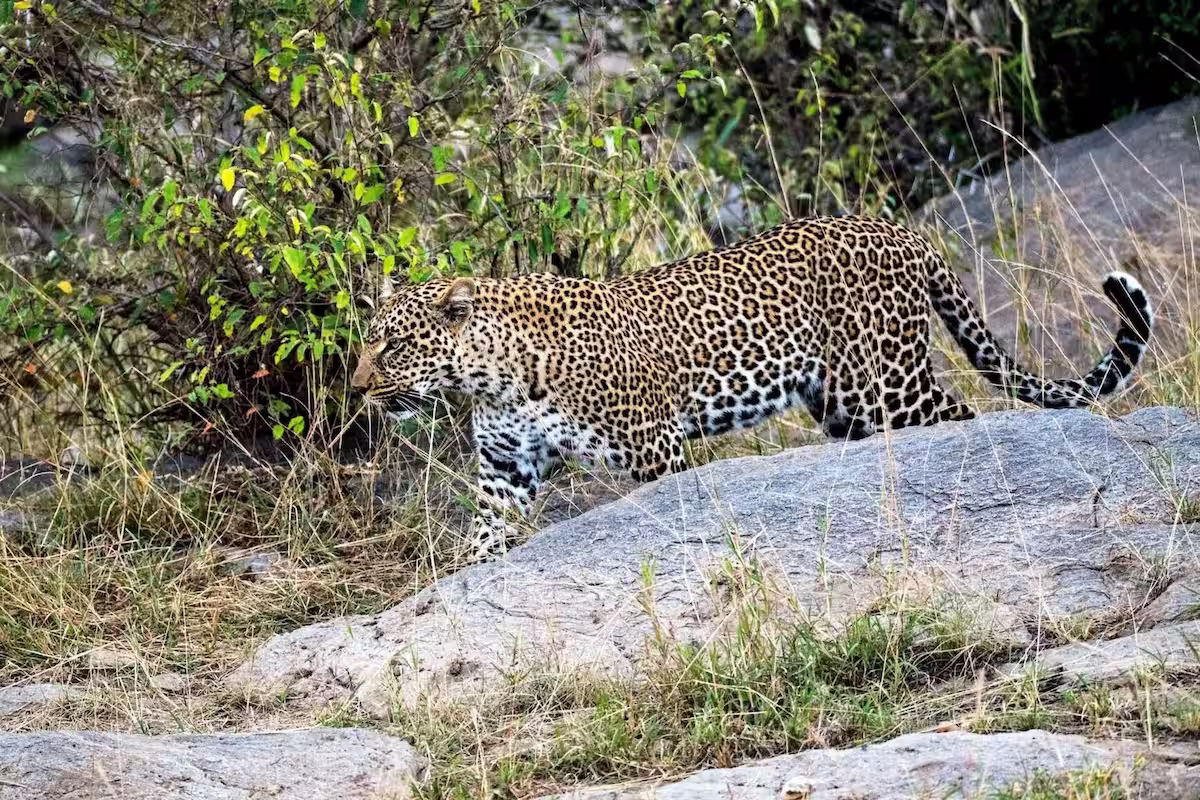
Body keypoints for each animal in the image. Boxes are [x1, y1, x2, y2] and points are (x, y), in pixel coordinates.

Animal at [351, 215, 1154, 562]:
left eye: (391, 343)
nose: (358, 389)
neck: (491, 375)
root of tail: (901, 229)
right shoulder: (505, 468)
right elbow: (486, 531)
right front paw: (464, 577)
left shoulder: (654, 450)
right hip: (842, 405)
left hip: (885, 382)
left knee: (962, 414)